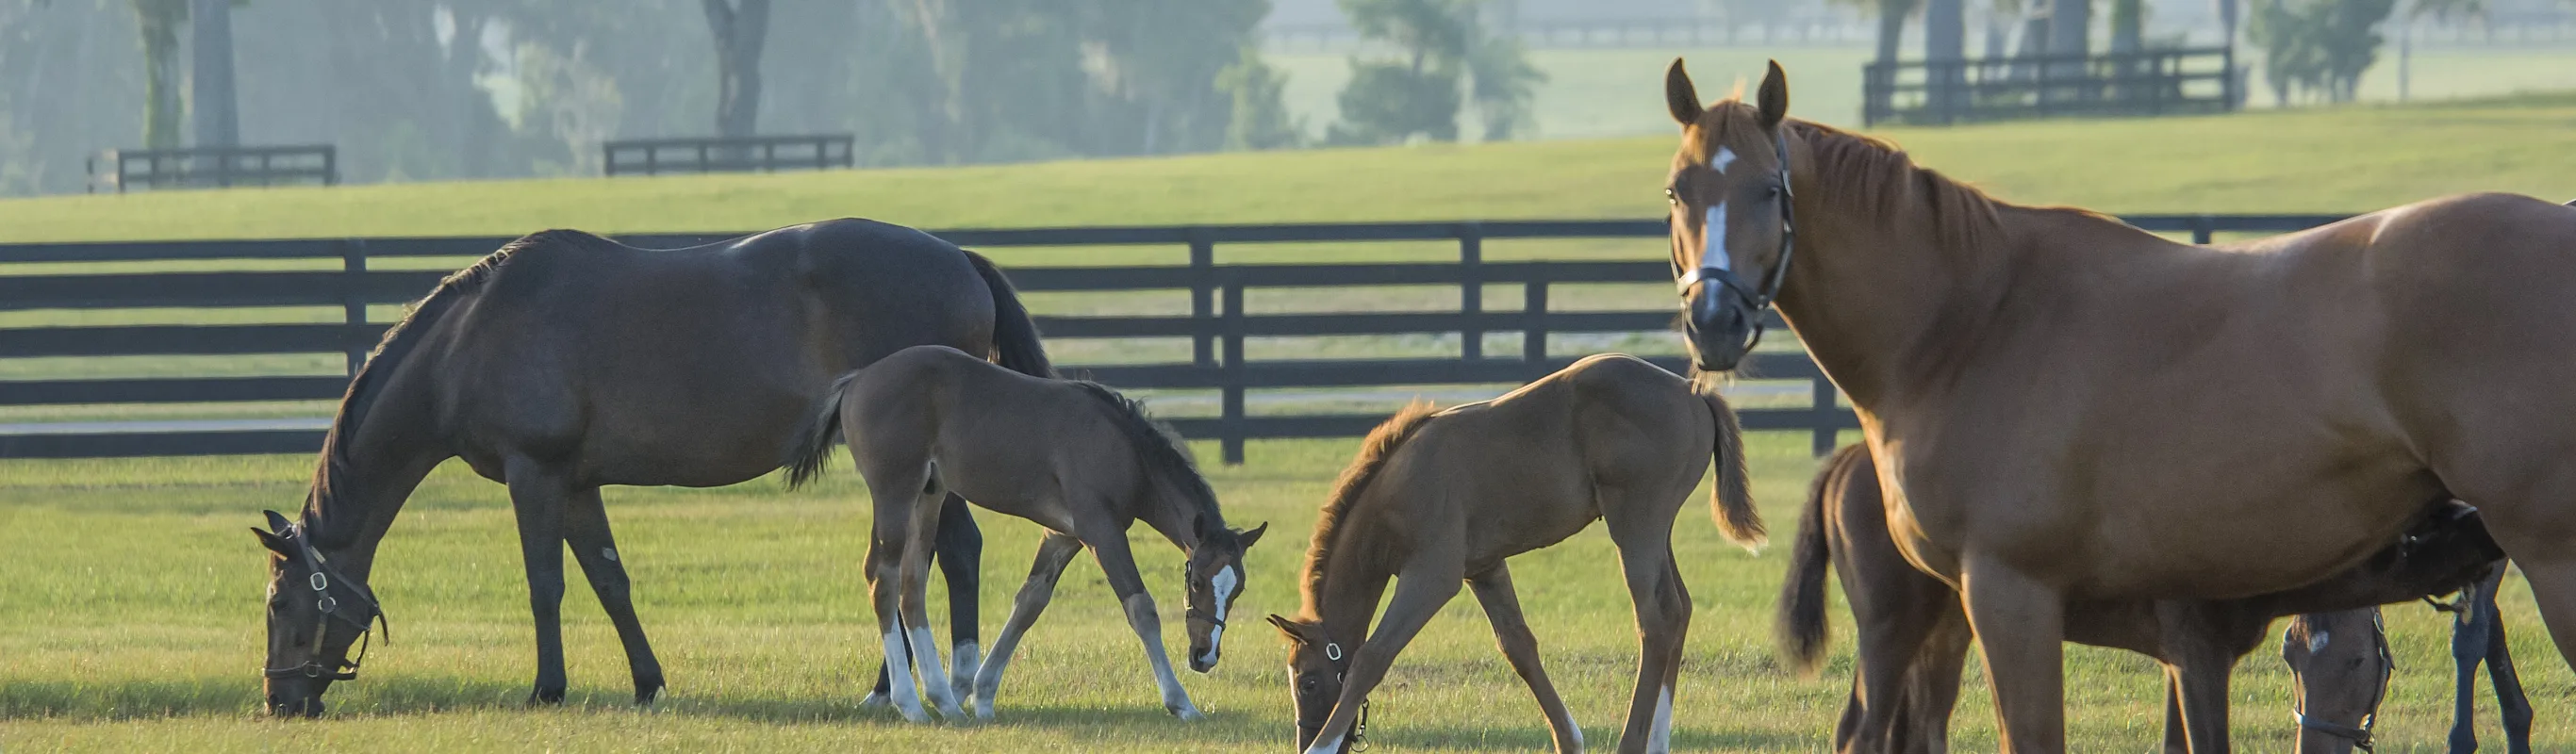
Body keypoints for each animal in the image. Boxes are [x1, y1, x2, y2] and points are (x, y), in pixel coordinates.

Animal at [249, 219, 1048, 717]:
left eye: (281, 603)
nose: (279, 701)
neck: (466, 344)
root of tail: (960, 259)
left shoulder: (534, 474)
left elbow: (545, 586)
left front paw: (547, 688)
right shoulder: (576, 484)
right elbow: (610, 582)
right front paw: (647, 682)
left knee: (936, 557)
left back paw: (924, 685)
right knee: (935, 558)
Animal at [781, 344, 1267, 723]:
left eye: (1238, 589)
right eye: (1197, 581)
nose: (1204, 656)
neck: (1124, 449)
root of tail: (858, 380)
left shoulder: (1063, 535)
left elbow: (1029, 603)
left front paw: (982, 697)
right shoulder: (1101, 530)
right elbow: (1141, 609)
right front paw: (1182, 703)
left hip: (929, 495)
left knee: (911, 584)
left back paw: (945, 702)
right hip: (894, 492)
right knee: (882, 576)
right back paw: (911, 705)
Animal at [1263, 354, 1763, 754]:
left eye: (1307, 680)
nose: (1304, 739)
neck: (1399, 484)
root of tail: (1694, 394)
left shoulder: (1432, 575)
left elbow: (1372, 656)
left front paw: (1321, 749)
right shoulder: (1483, 568)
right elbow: (1518, 646)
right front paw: (1569, 740)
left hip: (1635, 526)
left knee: (1655, 621)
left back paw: (1632, 743)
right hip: (1658, 532)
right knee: (1679, 610)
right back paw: (1658, 741)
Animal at [1780, 444, 2504, 753]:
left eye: (2353, 663)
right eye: (2303, 661)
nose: (2493, 538)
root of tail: (1843, 462)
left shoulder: (2179, 663)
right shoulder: (2198, 656)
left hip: (1945, 634)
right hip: (1891, 630)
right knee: (1862, 731)